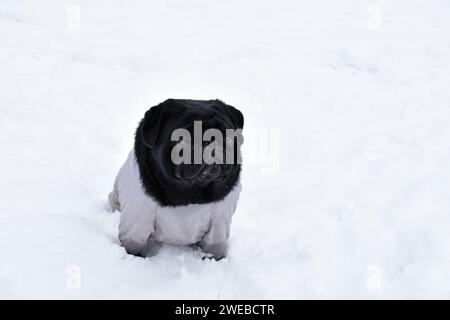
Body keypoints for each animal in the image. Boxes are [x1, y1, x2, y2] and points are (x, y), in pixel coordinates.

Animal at [108, 99, 243, 260]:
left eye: (228, 138)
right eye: (183, 139)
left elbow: (213, 248)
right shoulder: (138, 220)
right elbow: (134, 244)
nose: (211, 141)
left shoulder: (219, 224)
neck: (191, 195)